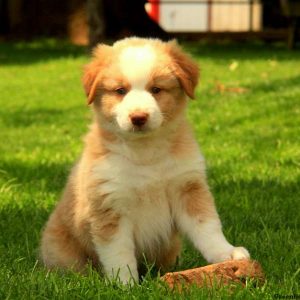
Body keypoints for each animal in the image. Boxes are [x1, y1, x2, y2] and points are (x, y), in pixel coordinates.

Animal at [40, 37, 251, 284]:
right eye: (120, 91)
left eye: (156, 89)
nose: (138, 117)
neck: (145, 153)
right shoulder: (110, 205)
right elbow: (118, 252)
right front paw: (125, 284)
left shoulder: (187, 186)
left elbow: (207, 226)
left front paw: (226, 253)